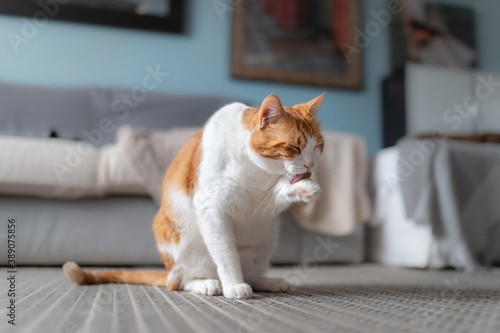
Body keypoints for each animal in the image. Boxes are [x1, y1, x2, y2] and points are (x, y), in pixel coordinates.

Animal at [64, 93, 324, 298]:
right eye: (295, 147)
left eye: (318, 146)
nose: (311, 165)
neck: (255, 171)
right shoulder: (212, 209)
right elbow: (227, 254)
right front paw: (233, 285)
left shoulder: (261, 203)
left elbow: (279, 192)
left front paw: (306, 188)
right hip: (184, 244)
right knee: (179, 282)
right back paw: (208, 284)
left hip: (265, 241)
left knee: (250, 273)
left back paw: (267, 281)